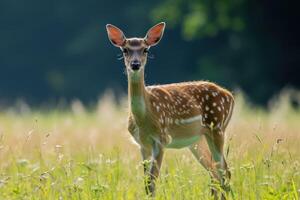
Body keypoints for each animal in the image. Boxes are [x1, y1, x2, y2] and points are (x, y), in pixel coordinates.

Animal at [105, 22, 234, 200]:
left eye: (146, 49)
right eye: (125, 50)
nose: (135, 64)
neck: (145, 118)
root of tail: (230, 96)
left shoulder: (161, 139)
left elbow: (152, 183)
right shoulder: (142, 144)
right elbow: (146, 183)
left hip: (218, 128)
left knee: (224, 172)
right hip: (198, 139)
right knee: (214, 172)